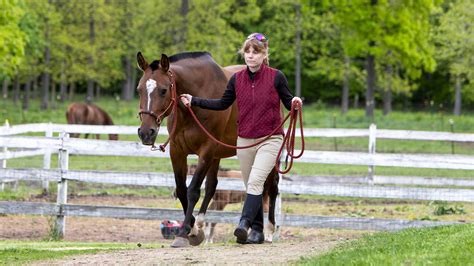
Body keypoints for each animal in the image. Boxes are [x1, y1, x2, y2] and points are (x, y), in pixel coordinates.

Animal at [135, 51, 280, 247]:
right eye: (139, 90)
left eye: (163, 90)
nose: (145, 133)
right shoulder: (178, 152)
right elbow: (182, 189)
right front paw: (194, 230)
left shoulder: (206, 151)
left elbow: (193, 190)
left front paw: (184, 233)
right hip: (219, 156)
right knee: (214, 186)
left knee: (272, 187)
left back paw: (270, 231)